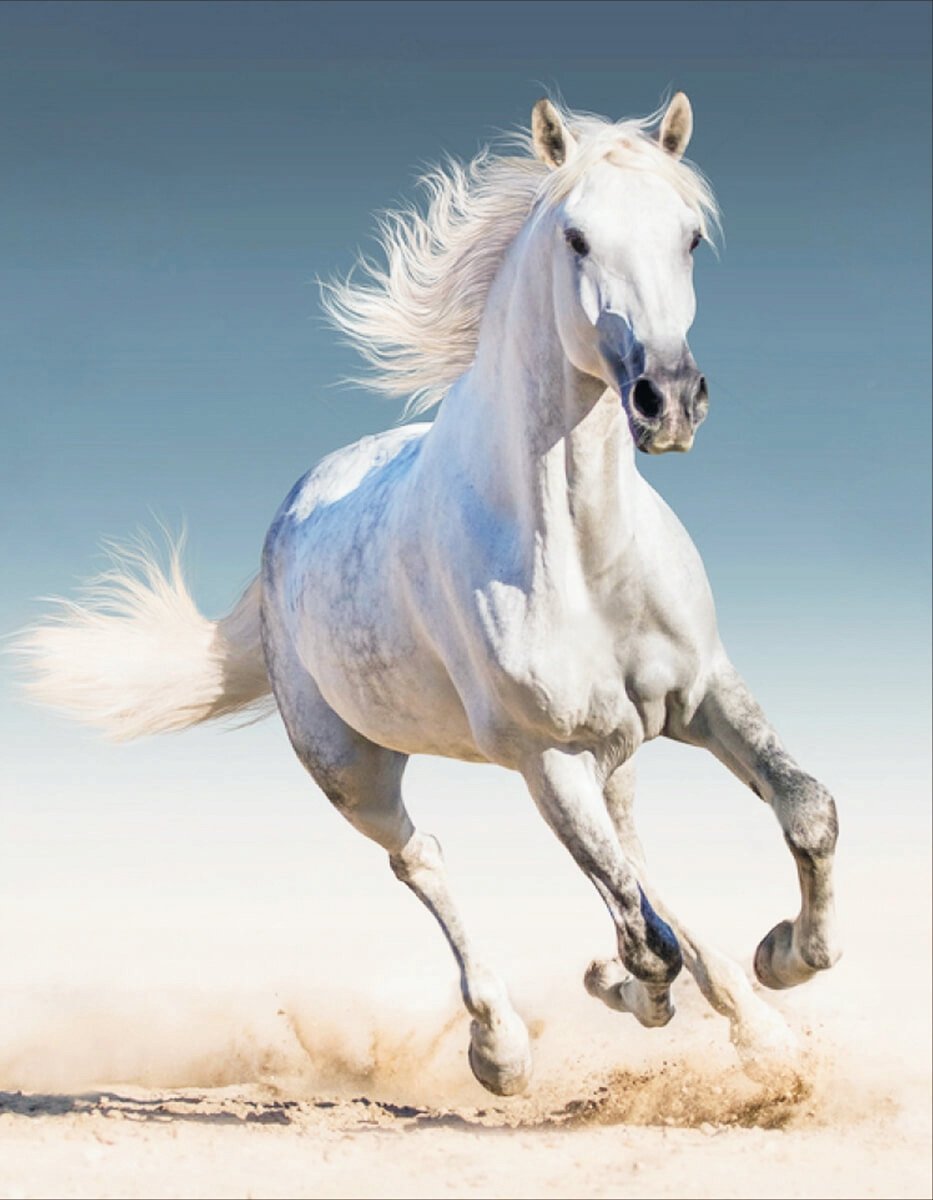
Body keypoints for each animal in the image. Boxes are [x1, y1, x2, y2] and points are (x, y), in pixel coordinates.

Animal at [17, 94, 841, 1096]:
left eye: (689, 237)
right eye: (575, 237)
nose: (667, 401)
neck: (581, 551)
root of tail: (289, 518)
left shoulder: (701, 693)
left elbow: (803, 812)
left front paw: (783, 959)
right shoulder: (544, 756)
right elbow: (642, 936)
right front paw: (635, 992)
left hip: (614, 750)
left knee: (632, 858)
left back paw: (756, 1028)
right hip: (355, 772)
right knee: (426, 862)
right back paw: (502, 1048)